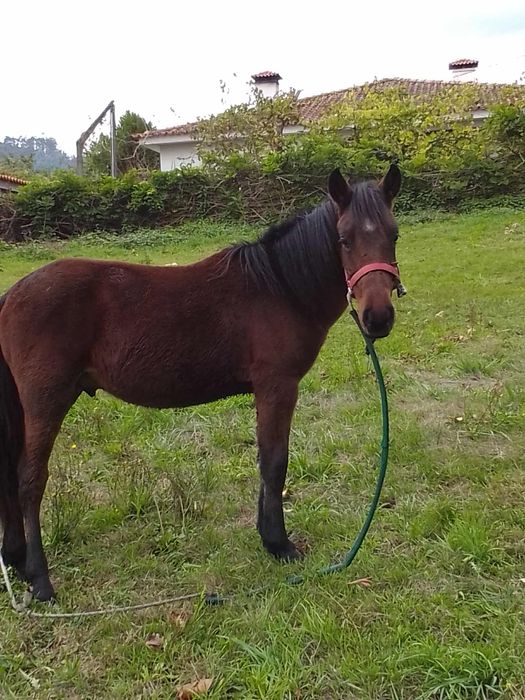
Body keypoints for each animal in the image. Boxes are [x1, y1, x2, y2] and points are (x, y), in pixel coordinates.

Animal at [0, 165, 403, 601]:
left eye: (394, 234)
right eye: (344, 239)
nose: (378, 317)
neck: (279, 287)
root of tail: (11, 295)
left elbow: (264, 460)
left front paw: (267, 537)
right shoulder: (278, 386)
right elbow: (275, 461)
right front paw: (280, 544)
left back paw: (16, 560)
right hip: (46, 402)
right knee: (30, 480)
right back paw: (40, 579)